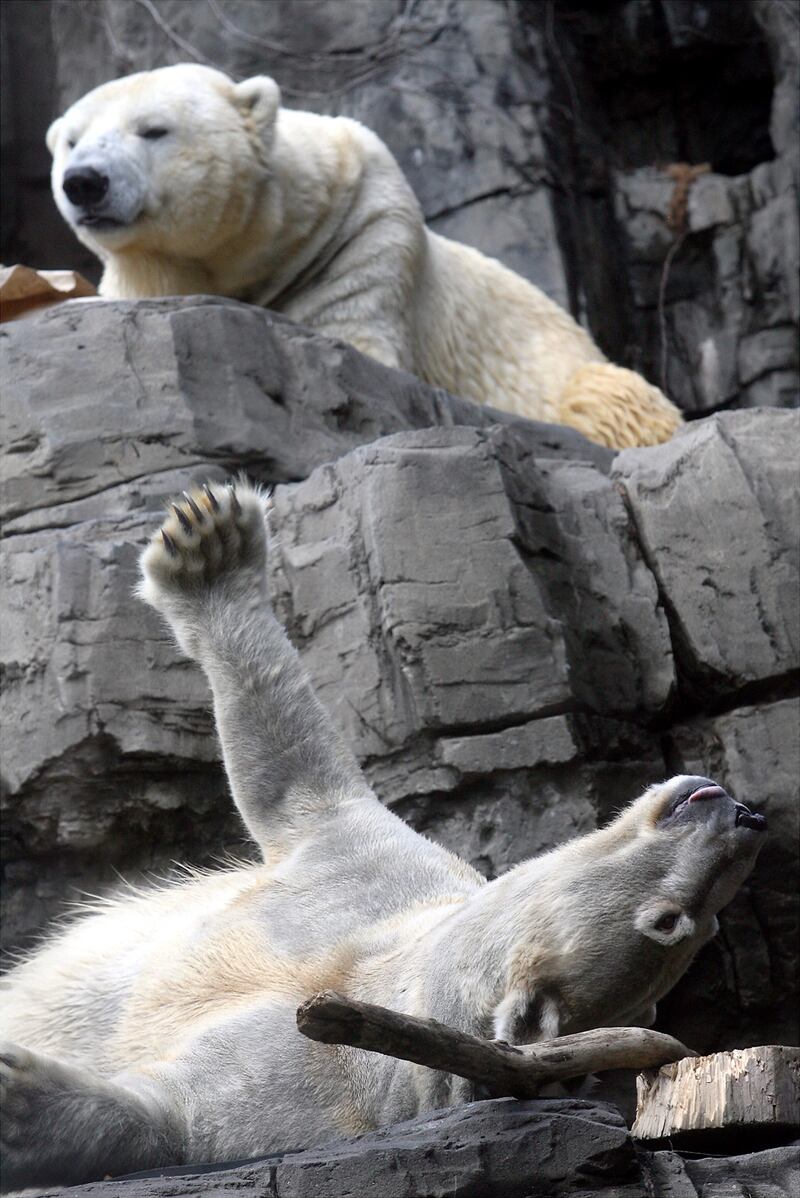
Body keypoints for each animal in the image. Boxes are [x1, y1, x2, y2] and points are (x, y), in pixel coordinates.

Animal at [0, 480, 767, 1190]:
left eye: (675, 922)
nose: (741, 815)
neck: (383, 982)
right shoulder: (369, 880)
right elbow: (296, 775)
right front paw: (210, 540)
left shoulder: (316, 1082)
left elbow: (173, 1121)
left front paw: (21, 1096)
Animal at [46, 64, 682, 450]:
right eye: (72, 140)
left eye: (154, 129)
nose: (85, 182)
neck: (256, 243)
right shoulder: (146, 275)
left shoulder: (360, 234)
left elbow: (353, 341)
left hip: (569, 366)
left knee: (608, 397)